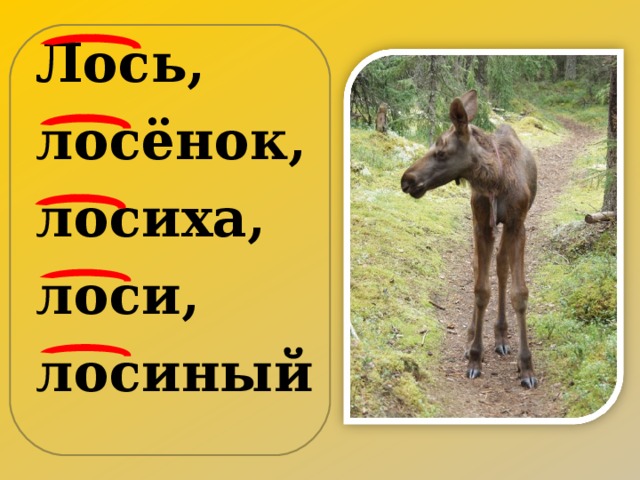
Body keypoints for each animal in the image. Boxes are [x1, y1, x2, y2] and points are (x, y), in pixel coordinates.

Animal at [400, 90, 538, 388]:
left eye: (441, 152)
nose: (407, 180)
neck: (496, 179)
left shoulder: (517, 224)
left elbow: (519, 292)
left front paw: (526, 366)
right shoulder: (482, 224)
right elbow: (481, 289)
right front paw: (475, 355)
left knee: (501, 266)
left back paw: (501, 335)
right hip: (479, 223)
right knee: (479, 269)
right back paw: (472, 337)